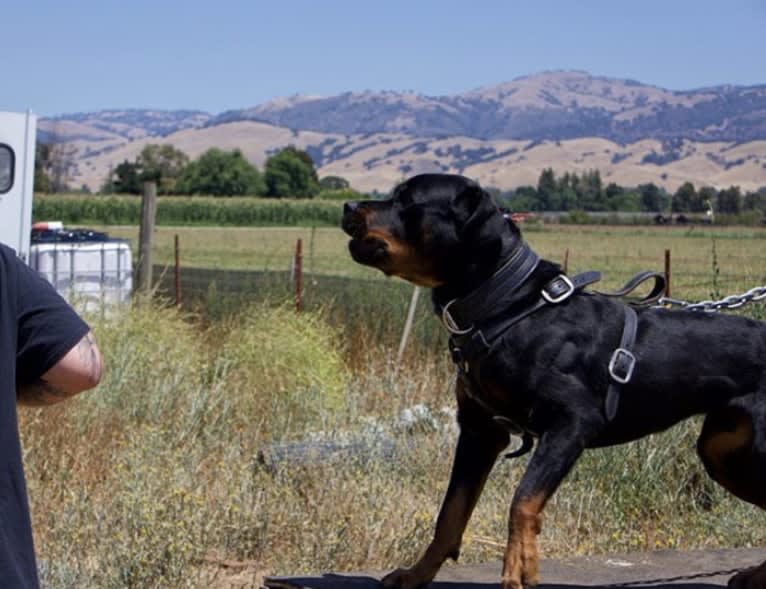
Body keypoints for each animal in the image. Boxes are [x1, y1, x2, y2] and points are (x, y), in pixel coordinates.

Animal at [344, 172, 766, 588]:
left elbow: (523, 500)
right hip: (723, 449)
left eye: (407, 199)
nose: (348, 205)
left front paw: (519, 568)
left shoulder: (572, 421)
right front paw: (415, 575)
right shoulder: (479, 430)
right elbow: (449, 515)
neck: (506, 306)